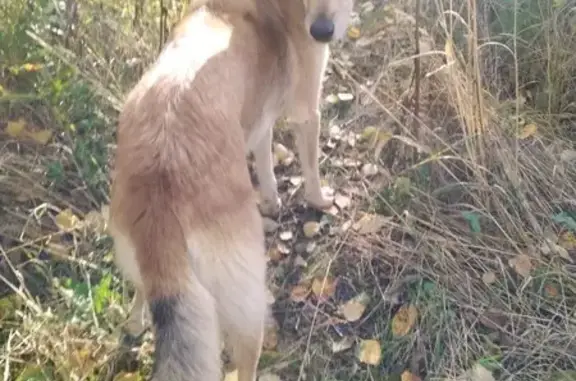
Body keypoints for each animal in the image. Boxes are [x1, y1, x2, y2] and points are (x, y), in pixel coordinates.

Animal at [107, 0, 352, 378]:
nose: (321, 33)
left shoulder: (260, 120)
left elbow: (265, 164)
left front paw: (271, 201)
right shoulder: (306, 112)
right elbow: (311, 172)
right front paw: (322, 202)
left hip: (148, 272)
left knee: (139, 298)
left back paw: (135, 325)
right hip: (247, 305)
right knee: (244, 364)